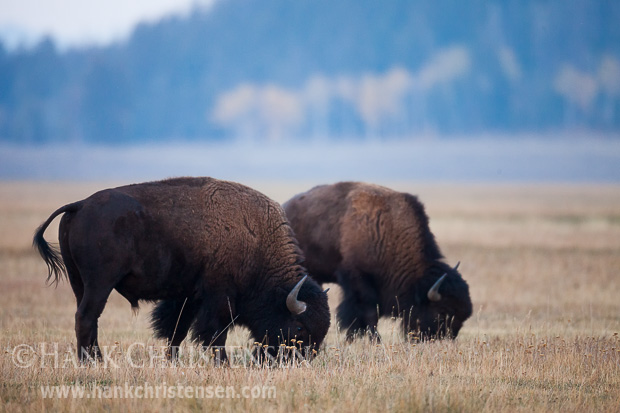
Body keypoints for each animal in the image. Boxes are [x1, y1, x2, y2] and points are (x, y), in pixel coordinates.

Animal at [34, 177, 332, 360]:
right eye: (299, 328)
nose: (296, 361)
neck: (257, 239)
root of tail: (80, 205)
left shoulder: (188, 296)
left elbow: (176, 330)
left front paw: (172, 361)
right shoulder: (219, 298)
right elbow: (214, 334)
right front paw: (223, 364)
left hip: (79, 283)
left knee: (88, 319)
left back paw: (93, 360)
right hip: (100, 284)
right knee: (86, 318)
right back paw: (94, 363)